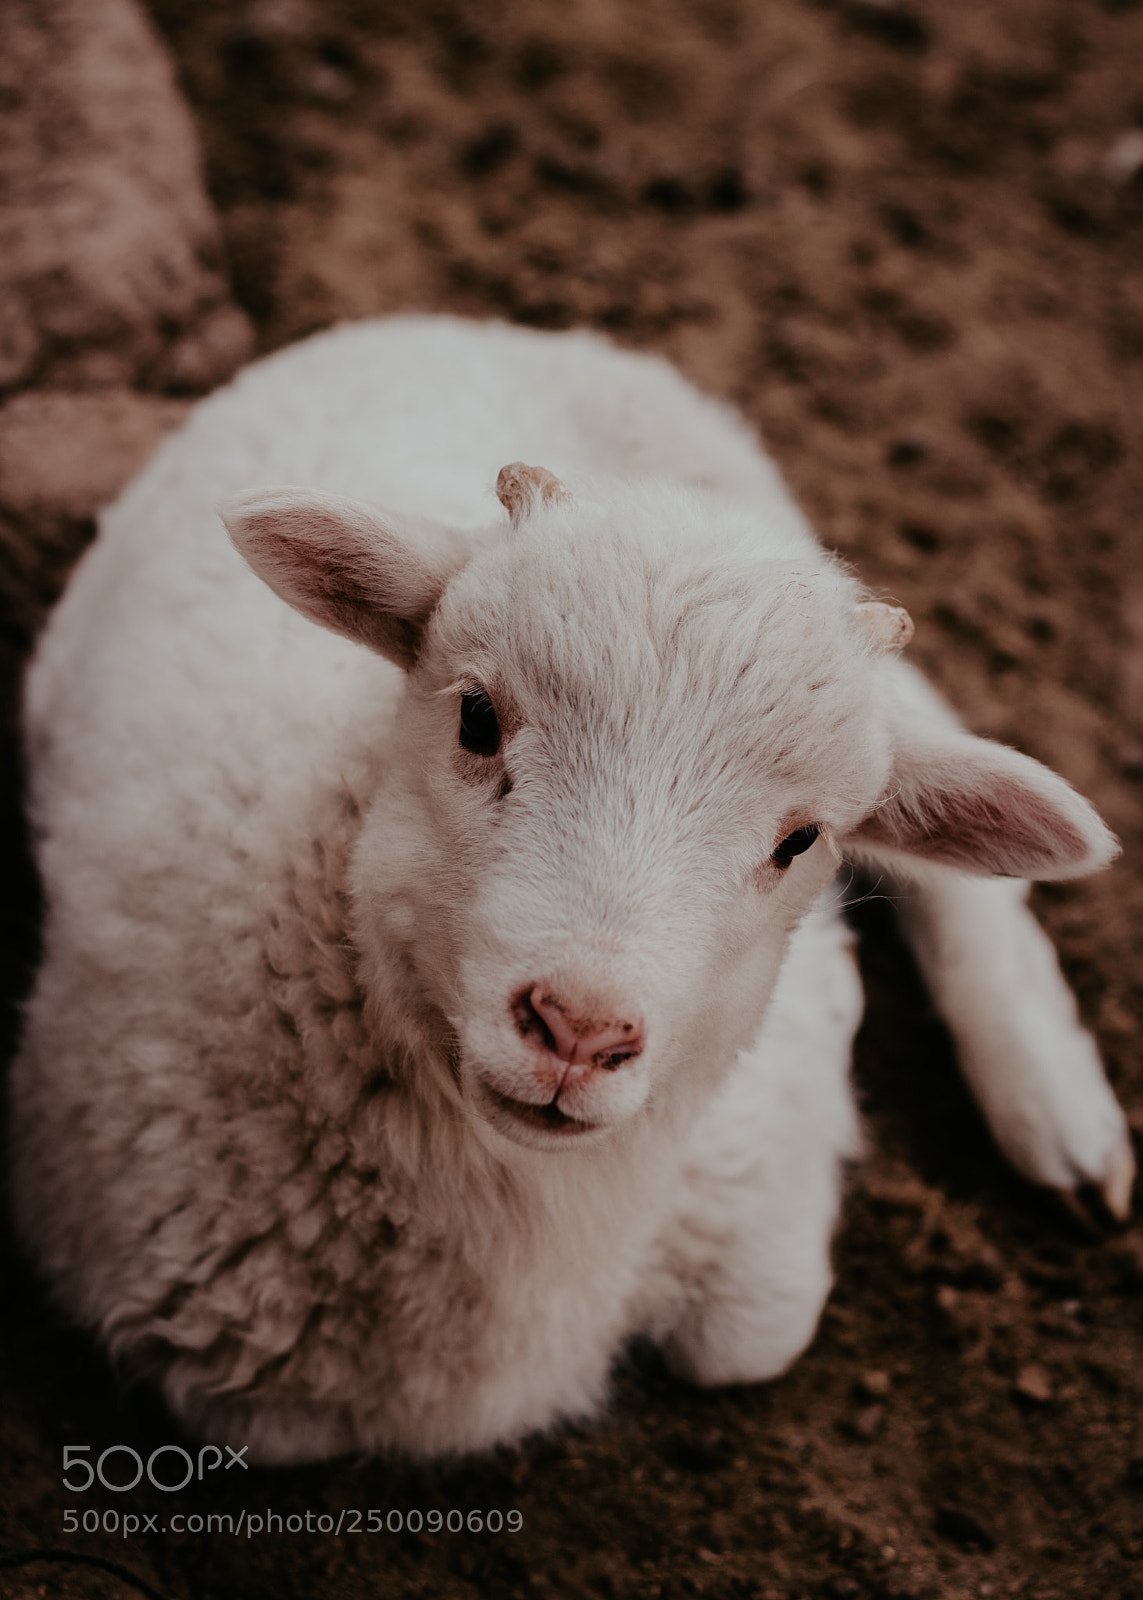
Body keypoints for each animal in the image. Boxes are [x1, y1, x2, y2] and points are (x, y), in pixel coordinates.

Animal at [10, 314, 1134, 1466]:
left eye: (802, 840)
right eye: (475, 718)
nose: (581, 1032)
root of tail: (484, 326)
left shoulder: (753, 1213)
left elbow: (752, 1329)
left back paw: (1060, 1116)